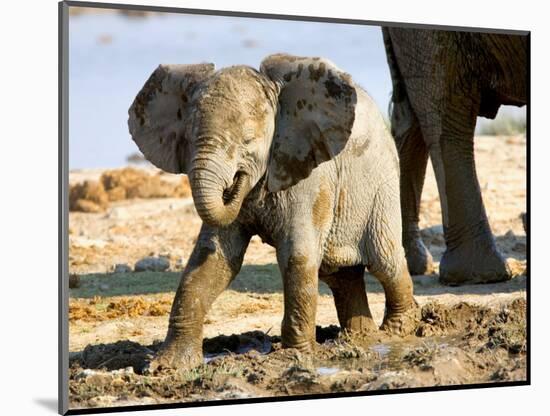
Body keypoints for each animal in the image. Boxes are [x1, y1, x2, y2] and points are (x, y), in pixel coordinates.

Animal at [129, 52, 420, 370]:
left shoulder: (309, 174)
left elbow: (297, 255)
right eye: (190, 139)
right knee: (340, 275)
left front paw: (294, 356)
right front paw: (166, 366)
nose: (236, 182)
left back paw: (396, 332)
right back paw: (359, 338)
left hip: (382, 186)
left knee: (385, 261)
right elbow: (213, 259)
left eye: (247, 141)